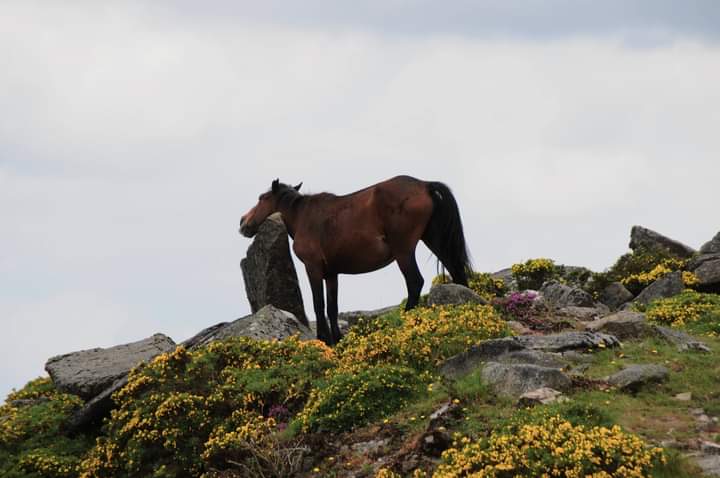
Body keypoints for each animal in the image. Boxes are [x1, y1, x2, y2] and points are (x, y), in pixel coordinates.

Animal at [239, 175, 471, 346]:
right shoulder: (331, 274)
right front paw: (337, 339)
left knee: (415, 282)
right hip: (434, 240)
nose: (243, 223)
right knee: (457, 271)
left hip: (404, 252)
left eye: (262, 198)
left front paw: (324, 339)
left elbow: (319, 304)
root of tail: (424, 185)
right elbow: (332, 307)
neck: (304, 215)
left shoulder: (313, 268)